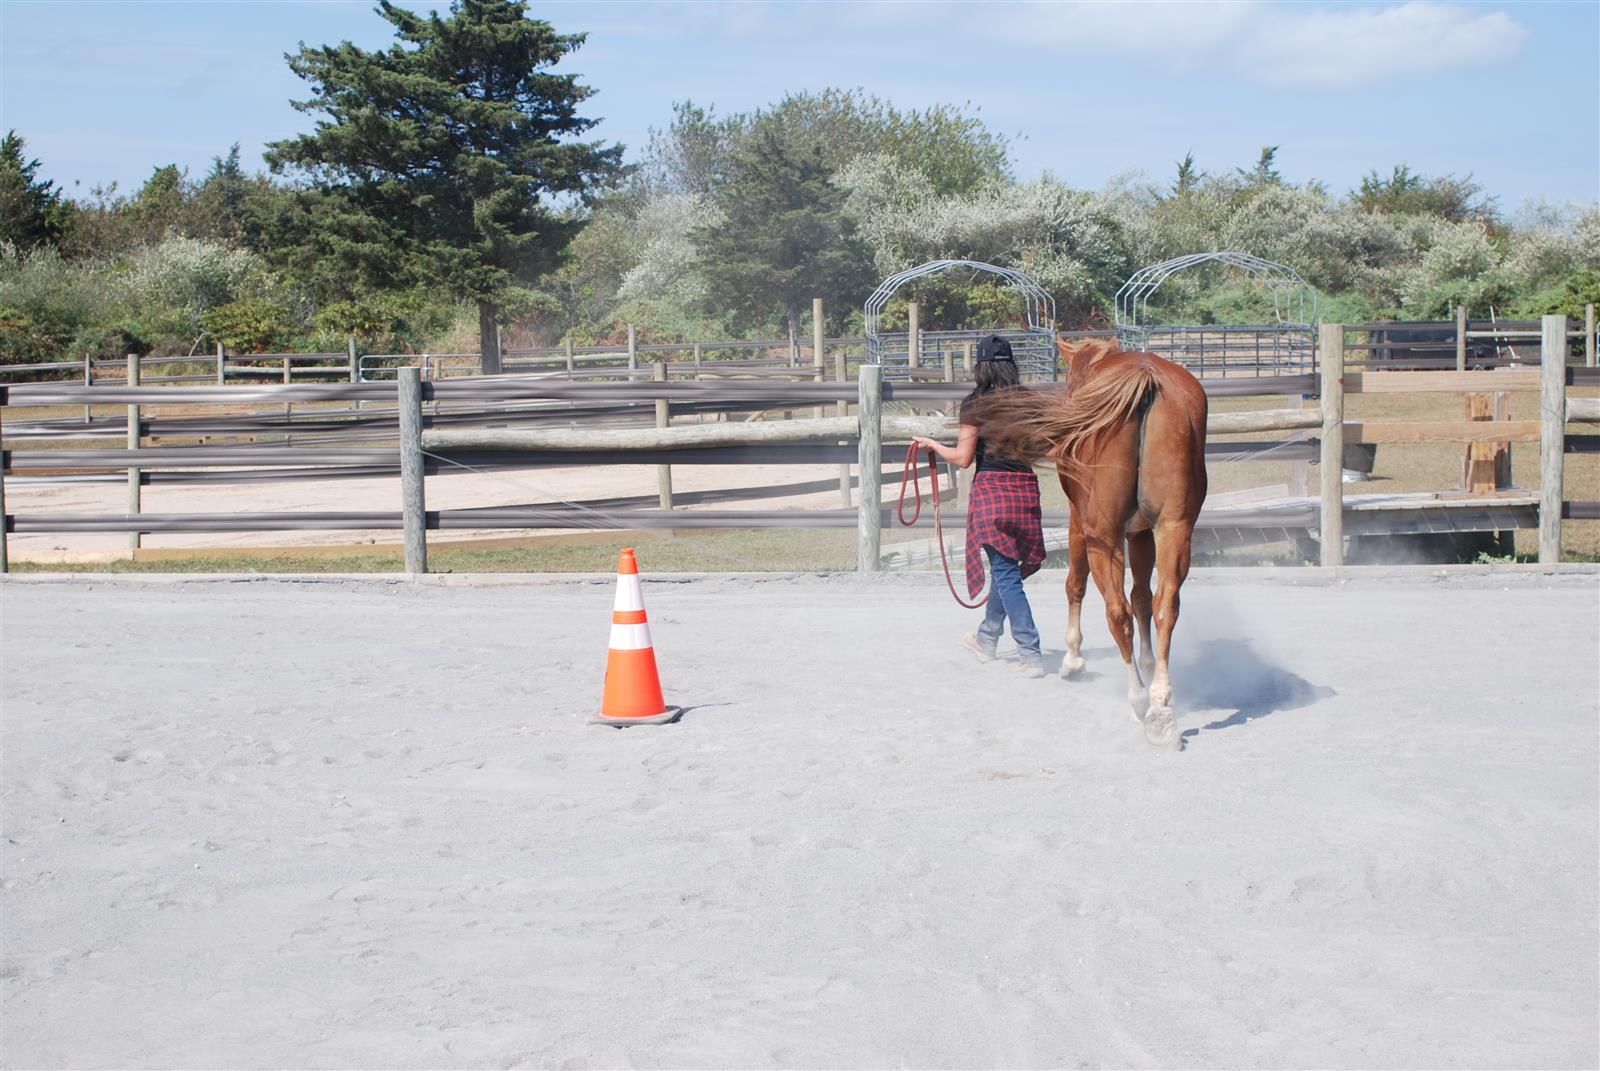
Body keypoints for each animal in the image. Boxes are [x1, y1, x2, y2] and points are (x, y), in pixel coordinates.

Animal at [969, 337, 1208, 746]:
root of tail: (1146, 381)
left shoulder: (1079, 524)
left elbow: (1075, 585)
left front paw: (1073, 659)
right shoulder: (1141, 532)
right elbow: (1142, 597)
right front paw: (1148, 662)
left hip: (1102, 537)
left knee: (1116, 612)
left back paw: (1138, 698)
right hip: (1174, 529)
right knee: (1164, 605)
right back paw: (1160, 701)